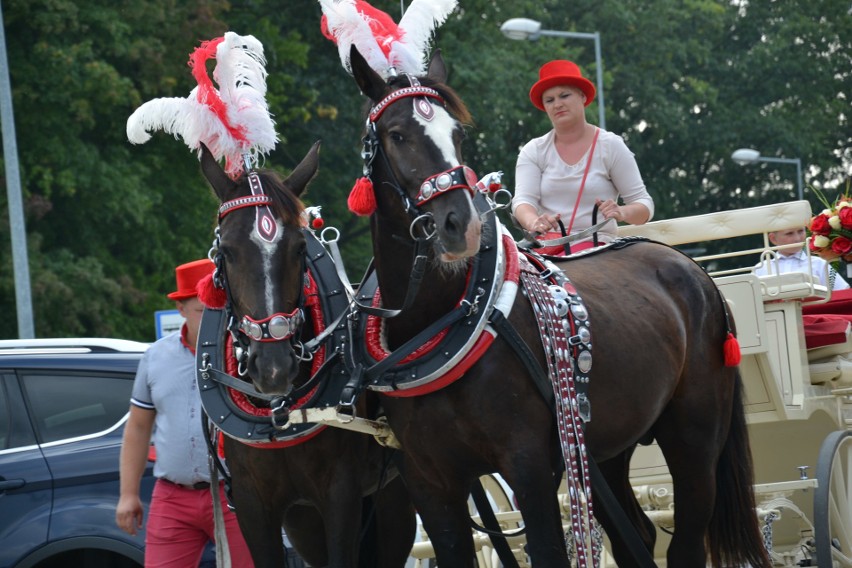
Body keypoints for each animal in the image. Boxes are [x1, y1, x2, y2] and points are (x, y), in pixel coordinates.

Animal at [197, 143, 416, 568]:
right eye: (226, 252)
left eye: (300, 249)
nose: (274, 368)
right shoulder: (253, 504)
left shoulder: (340, 495)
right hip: (304, 523)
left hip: (392, 500)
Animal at [332, 47, 772, 568]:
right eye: (396, 134)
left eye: (457, 134)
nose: (461, 226)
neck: (443, 319)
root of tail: (695, 270)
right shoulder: (428, 481)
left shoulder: (529, 467)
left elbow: (546, 549)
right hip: (605, 446)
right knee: (636, 534)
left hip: (695, 437)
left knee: (687, 539)